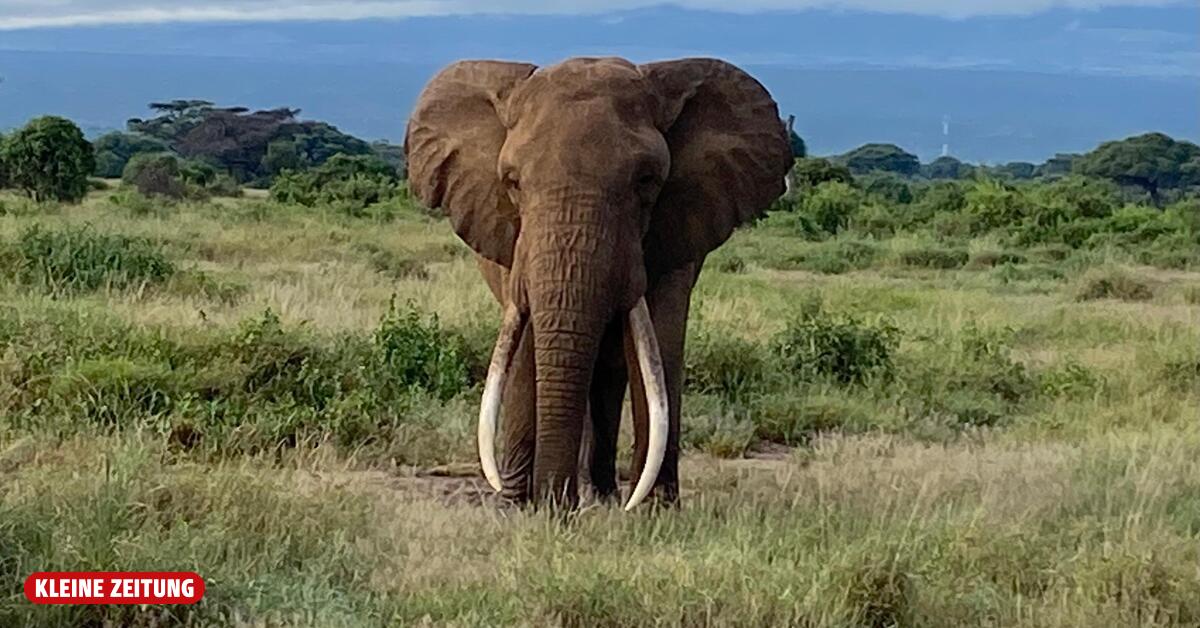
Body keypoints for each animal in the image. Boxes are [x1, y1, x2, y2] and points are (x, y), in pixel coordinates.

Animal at [405, 56, 791, 510]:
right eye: (512, 181)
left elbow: (659, 343)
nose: (556, 504)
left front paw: (655, 511)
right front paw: (519, 506)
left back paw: (601, 496)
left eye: (647, 180)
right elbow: (526, 343)